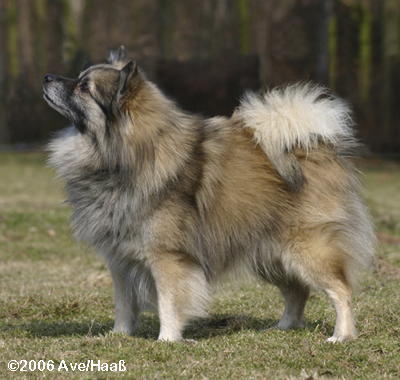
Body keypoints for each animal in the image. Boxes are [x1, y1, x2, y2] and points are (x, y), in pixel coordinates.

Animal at [43, 46, 376, 342]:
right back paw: (282, 328)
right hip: (271, 258)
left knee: (341, 290)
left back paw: (341, 335)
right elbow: (124, 305)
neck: (126, 156)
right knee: (298, 291)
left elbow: (168, 304)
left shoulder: (166, 259)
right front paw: (118, 336)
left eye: (84, 87)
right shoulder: (121, 261)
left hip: (305, 251)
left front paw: (167, 340)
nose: (46, 76)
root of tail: (316, 146)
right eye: (78, 79)